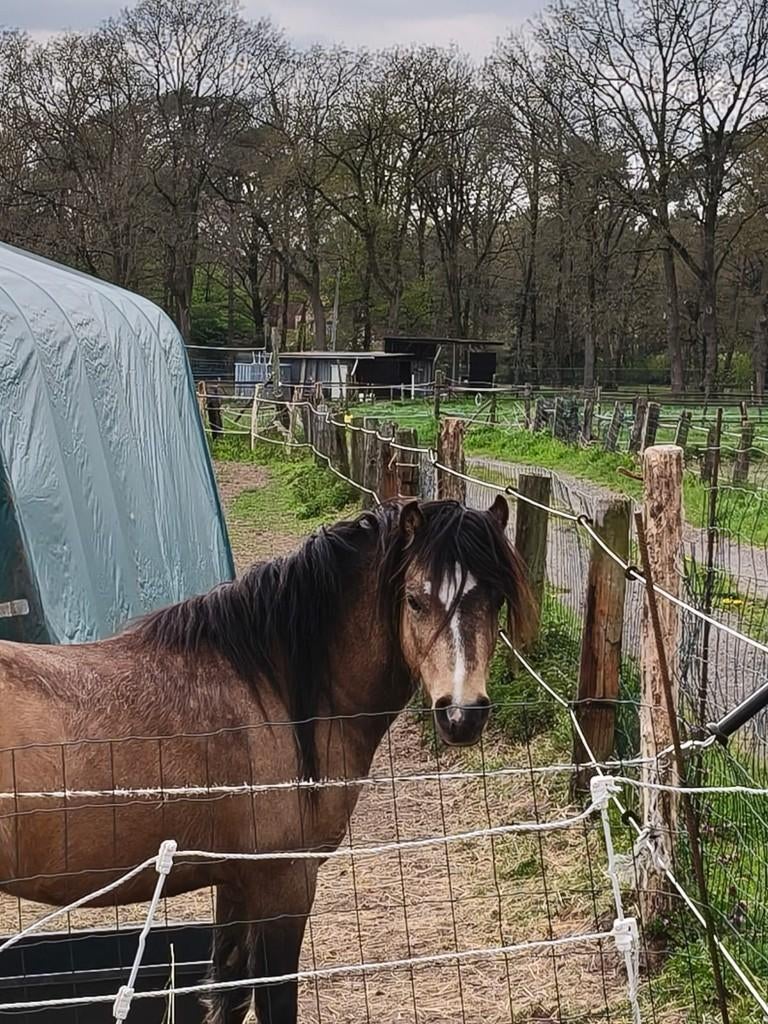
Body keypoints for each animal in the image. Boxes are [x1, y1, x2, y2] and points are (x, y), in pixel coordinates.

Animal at [0, 496, 532, 1023]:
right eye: (416, 601)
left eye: (495, 599)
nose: (461, 714)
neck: (271, 690)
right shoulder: (284, 885)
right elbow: (273, 999)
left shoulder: (235, 883)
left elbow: (230, 995)